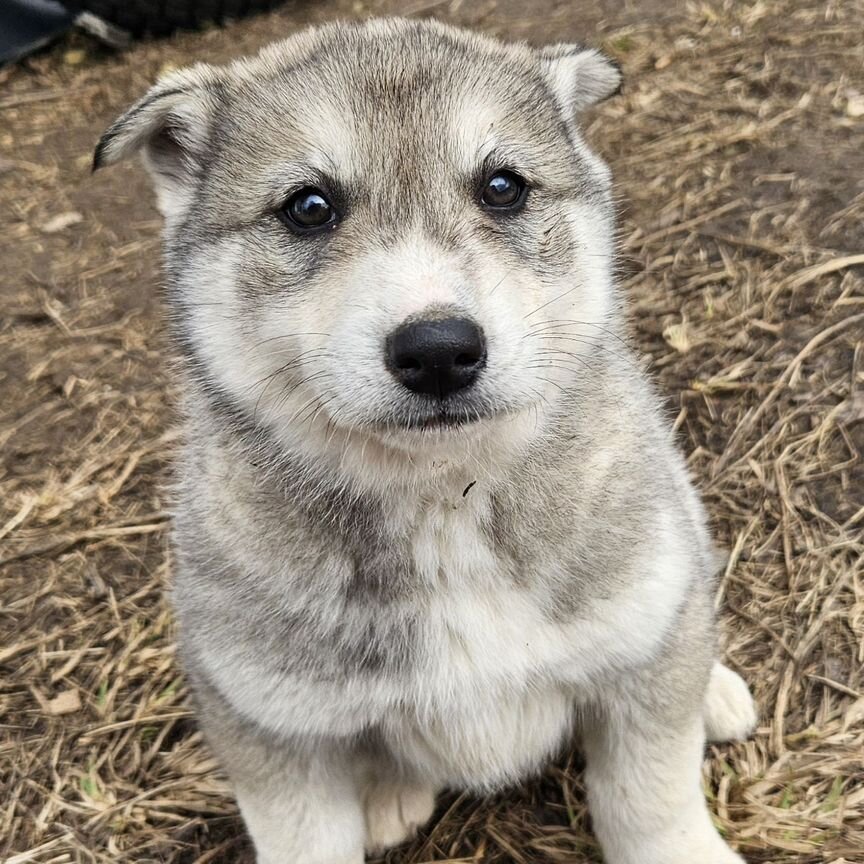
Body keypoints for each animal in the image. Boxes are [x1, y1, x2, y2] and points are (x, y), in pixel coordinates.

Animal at [96, 20, 756, 864]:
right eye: (308, 207)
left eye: (503, 187)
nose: (439, 350)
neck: (440, 497)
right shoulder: (268, 725)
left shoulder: (640, 641)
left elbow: (649, 797)